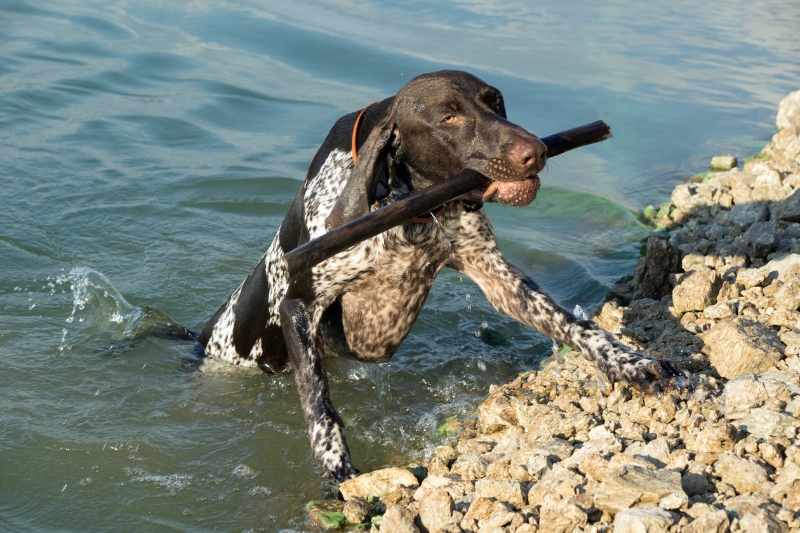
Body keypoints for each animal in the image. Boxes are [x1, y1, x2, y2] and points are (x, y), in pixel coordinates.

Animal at [198, 70, 680, 482]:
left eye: (495, 101)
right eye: (449, 117)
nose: (537, 152)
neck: (409, 206)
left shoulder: (497, 277)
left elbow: (576, 325)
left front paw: (631, 362)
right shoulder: (300, 303)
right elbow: (321, 407)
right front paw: (337, 468)